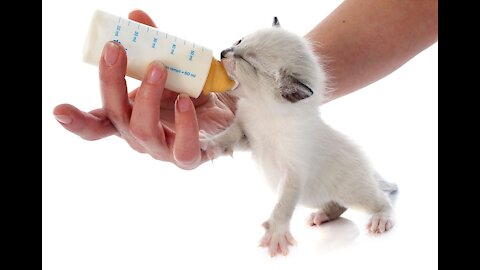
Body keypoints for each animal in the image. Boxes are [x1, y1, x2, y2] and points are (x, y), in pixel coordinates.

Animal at [200, 16, 398, 258]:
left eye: (248, 62)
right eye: (240, 41)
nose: (223, 53)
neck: (264, 110)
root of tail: (368, 168)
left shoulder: (294, 174)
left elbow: (283, 205)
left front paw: (276, 233)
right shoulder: (246, 135)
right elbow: (227, 136)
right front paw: (210, 143)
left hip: (354, 191)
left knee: (381, 199)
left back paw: (381, 219)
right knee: (338, 205)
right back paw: (322, 216)